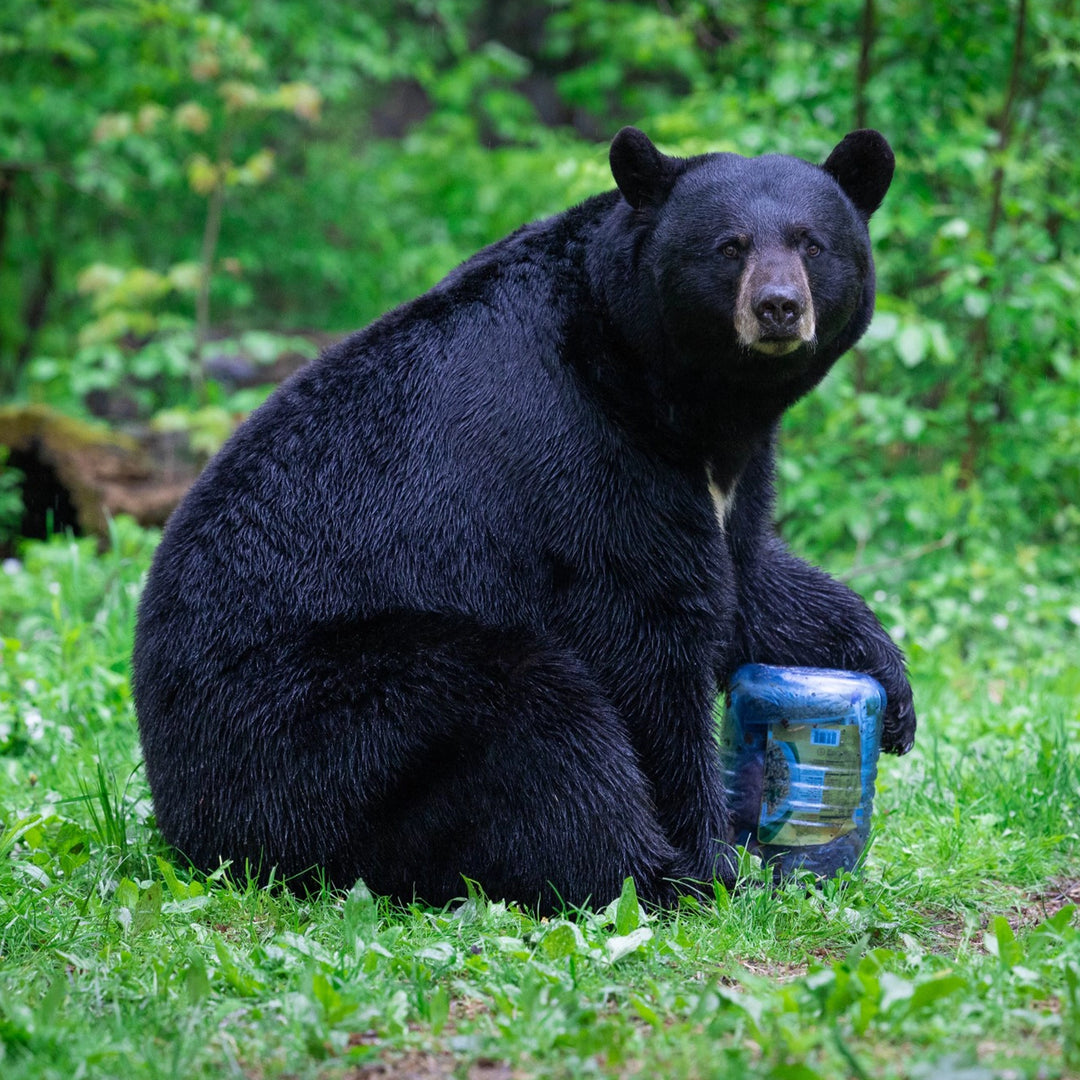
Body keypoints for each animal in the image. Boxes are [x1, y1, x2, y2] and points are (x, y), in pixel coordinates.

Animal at [132, 126, 915, 912]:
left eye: (812, 243)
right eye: (729, 246)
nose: (779, 307)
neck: (676, 393)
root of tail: (185, 814)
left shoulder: (728, 471)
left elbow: (748, 575)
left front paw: (888, 687)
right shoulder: (587, 452)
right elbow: (647, 635)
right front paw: (712, 858)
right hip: (316, 723)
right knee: (535, 717)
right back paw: (648, 871)